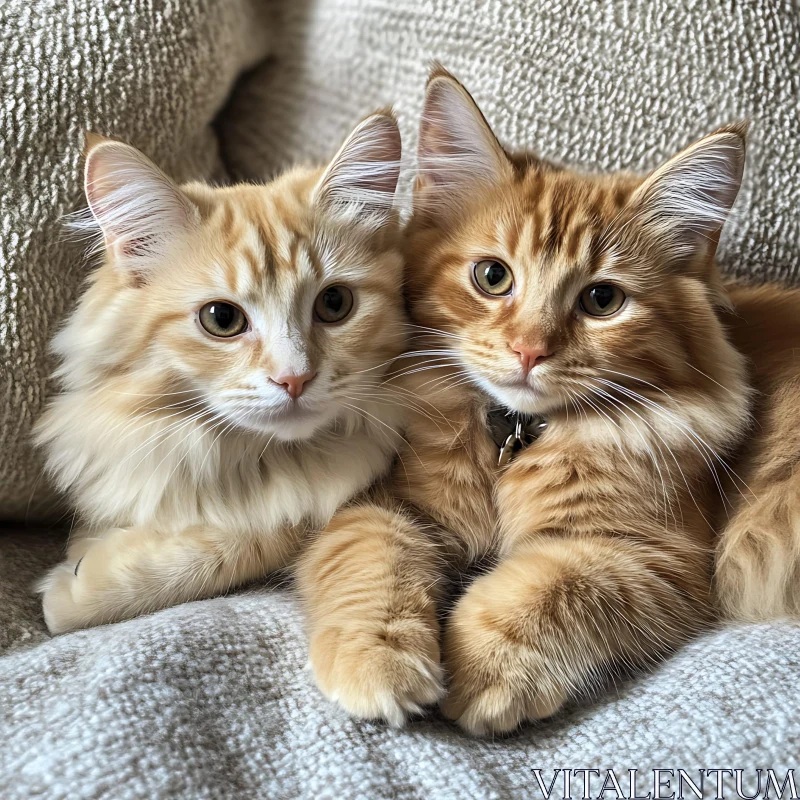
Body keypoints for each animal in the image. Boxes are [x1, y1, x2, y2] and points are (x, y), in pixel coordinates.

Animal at [37, 114, 406, 636]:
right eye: (222, 319)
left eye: (335, 304)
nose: (294, 379)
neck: (250, 461)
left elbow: (251, 538)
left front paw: (77, 582)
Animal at [302, 70, 800, 736]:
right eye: (492, 277)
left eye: (602, 300)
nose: (529, 350)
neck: (515, 437)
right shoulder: (389, 504)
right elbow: (370, 561)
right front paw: (377, 660)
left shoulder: (651, 556)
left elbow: (547, 591)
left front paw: (486, 671)